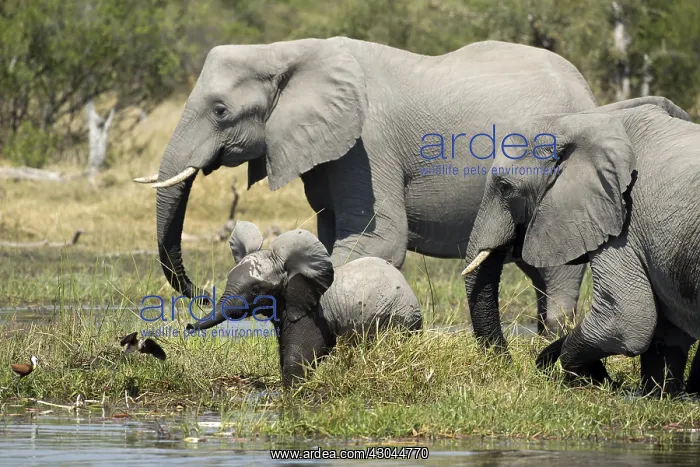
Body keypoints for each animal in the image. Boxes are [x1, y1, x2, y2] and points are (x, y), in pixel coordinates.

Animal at [135, 36, 606, 338]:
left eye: (220, 111)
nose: (200, 296)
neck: (288, 50)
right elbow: (325, 239)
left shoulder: (368, 143)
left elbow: (380, 240)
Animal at [185, 221, 422, 387]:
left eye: (255, 289)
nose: (188, 326)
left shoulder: (313, 315)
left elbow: (296, 358)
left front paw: (292, 392)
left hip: (396, 317)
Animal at [461, 100, 700, 395]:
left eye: (505, 187)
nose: (508, 362)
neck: (582, 121)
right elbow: (665, 333)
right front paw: (656, 395)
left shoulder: (622, 225)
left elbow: (626, 319)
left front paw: (580, 373)